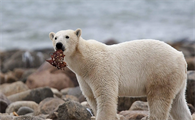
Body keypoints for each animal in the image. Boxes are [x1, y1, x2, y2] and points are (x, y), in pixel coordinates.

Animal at [49, 28, 192, 119]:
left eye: (67, 36)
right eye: (55, 37)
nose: (59, 44)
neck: (86, 61)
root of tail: (181, 57)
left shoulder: (101, 69)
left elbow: (105, 97)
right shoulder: (84, 78)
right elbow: (92, 97)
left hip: (161, 72)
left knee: (159, 101)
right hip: (177, 78)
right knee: (179, 104)